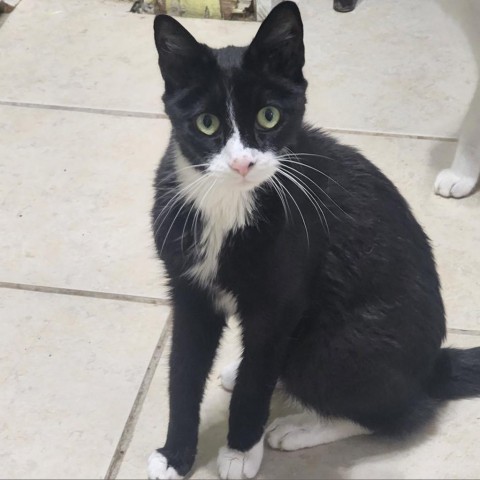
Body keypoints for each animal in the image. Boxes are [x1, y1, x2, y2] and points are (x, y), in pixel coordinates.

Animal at [148, 1, 480, 478]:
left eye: (269, 116)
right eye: (206, 124)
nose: (243, 163)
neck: (229, 207)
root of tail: (433, 365)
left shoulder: (279, 303)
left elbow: (256, 380)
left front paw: (240, 451)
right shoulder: (189, 291)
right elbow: (183, 372)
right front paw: (175, 456)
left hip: (332, 345)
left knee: (396, 412)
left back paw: (299, 427)